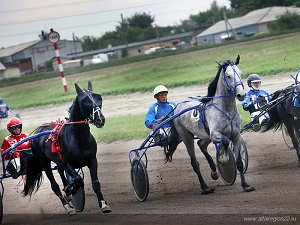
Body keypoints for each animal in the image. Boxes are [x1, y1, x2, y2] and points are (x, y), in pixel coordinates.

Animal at [22, 81, 110, 216]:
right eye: (85, 101)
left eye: (99, 98)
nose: (100, 119)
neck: (78, 137)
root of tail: (38, 131)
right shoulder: (67, 162)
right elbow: (78, 180)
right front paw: (70, 190)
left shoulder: (92, 160)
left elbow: (95, 183)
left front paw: (103, 204)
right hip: (44, 161)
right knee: (55, 186)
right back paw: (68, 206)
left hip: (57, 160)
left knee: (60, 171)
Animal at [168, 55, 254, 193]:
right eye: (228, 76)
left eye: (240, 73)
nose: (241, 94)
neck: (226, 110)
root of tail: (177, 107)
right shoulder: (214, 135)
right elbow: (225, 141)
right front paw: (223, 159)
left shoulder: (236, 135)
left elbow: (240, 163)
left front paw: (246, 185)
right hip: (186, 136)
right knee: (194, 162)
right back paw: (205, 187)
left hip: (204, 135)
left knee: (201, 144)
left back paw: (214, 171)